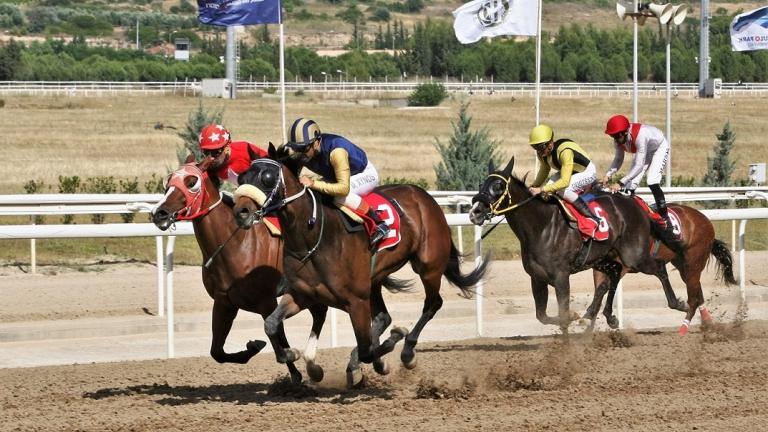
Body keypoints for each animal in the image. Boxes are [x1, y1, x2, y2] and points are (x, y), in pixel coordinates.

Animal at [150, 157, 328, 384]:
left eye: (191, 182)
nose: (159, 213)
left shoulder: (265, 300)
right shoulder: (224, 302)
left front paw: (292, 363)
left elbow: (277, 335)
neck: (235, 244)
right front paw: (254, 348)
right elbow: (217, 352)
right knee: (320, 312)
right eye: (169, 181)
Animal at [231, 144, 488, 384]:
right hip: (374, 280)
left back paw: (407, 351)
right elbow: (271, 324)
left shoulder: (355, 301)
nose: (240, 212)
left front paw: (389, 348)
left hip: (428, 266)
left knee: (432, 304)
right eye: (242, 178)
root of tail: (424, 197)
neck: (312, 237)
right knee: (384, 316)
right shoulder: (303, 295)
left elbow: (368, 349)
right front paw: (290, 354)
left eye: (267, 178)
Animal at [468, 157, 672, 332]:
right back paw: (607, 317)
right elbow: (542, 316)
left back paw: (676, 303)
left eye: (499, 186)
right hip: (603, 257)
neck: (541, 226)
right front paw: (576, 317)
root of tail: (638, 204)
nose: (475, 212)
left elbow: (563, 316)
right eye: (481, 184)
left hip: (634, 256)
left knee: (659, 268)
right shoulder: (537, 278)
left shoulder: (561, 276)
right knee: (614, 274)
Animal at [584, 201, 736, 336]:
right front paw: (588, 326)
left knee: (693, 297)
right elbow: (600, 290)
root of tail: (705, 219)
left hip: (694, 262)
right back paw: (707, 322)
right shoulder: (600, 266)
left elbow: (604, 287)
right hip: (683, 266)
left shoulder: (625, 265)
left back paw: (684, 328)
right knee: (698, 293)